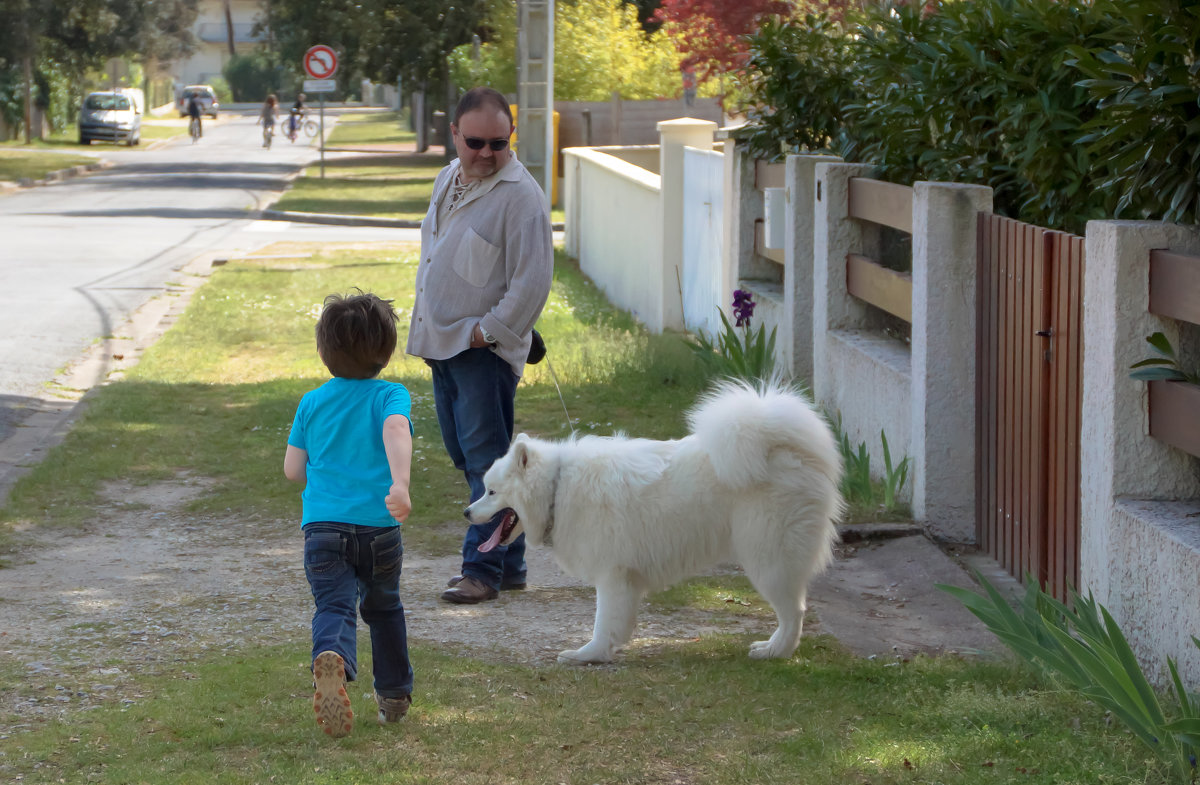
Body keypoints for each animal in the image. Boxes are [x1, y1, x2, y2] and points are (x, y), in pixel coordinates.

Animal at [460, 381, 844, 662]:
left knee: (793, 612)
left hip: (768, 557)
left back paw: (775, 650)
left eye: (491, 492)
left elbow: (602, 621)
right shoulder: (625, 578)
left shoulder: (611, 574)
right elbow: (618, 622)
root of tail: (785, 448)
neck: (558, 488)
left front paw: (588, 655)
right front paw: (607, 650)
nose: (466, 512)